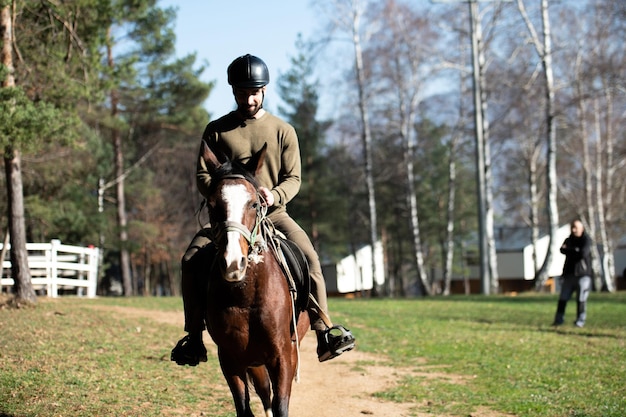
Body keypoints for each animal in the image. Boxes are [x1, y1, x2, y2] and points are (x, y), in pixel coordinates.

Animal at [199, 141, 308, 416]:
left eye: (254, 204)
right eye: (212, 205)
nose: (232, 262)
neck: (245, 296)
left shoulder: (282, 357)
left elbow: (281, 406)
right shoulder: (230, 360)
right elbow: (244, 407)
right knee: (264, 393)